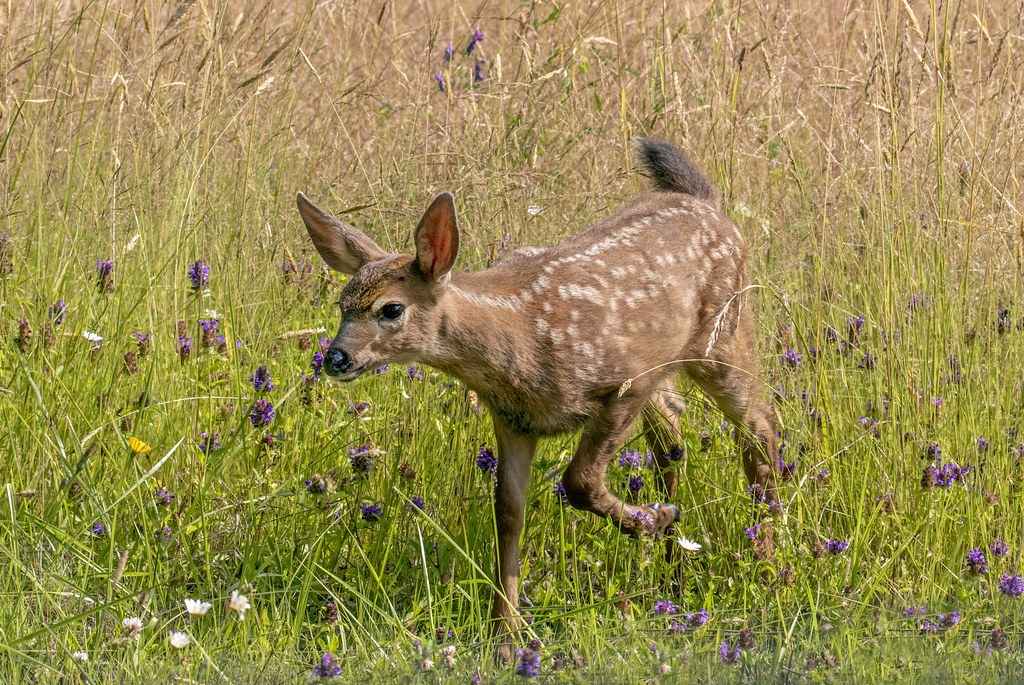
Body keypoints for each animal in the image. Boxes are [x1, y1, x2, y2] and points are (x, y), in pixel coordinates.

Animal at [296, 138, 778, 657]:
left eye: (390, 309)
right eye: (342, 304)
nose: (336, 358)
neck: (519, 341)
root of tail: (708, 202)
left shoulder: (625, 382)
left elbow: (579, 481)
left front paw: (650, 519)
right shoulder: (513, 420)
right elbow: (508, 513)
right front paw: (505, 635)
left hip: (723, 335)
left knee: (759, 426)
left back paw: (763, 556)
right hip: (672, 368)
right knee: (672, 436)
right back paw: (674, 566)